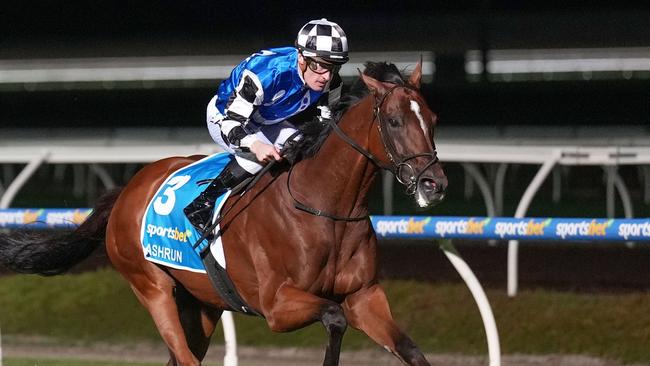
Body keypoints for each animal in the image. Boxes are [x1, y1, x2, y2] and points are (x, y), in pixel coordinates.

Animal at [0, 61, 446, 364]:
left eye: (433, 119)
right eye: (394, 120)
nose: (434, 184)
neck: (326, 207)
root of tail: (128, 190)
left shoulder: (365, 296)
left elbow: (409, 348)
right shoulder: (276, 306)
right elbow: (334, 318)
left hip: (201, 303)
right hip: (151, 287)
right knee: (183, 356)